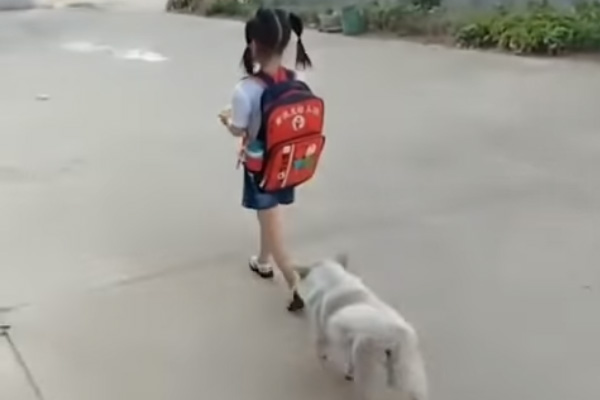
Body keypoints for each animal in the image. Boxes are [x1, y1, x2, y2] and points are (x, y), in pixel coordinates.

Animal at [294, 255, 426, 400]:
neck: (334, 281)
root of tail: (393, 331)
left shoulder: (321, 332)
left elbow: (320, 347)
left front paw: (323, 357)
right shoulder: (347, 344)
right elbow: (349, 360)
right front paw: (348, 371)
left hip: (365, 364)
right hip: (407, 371)